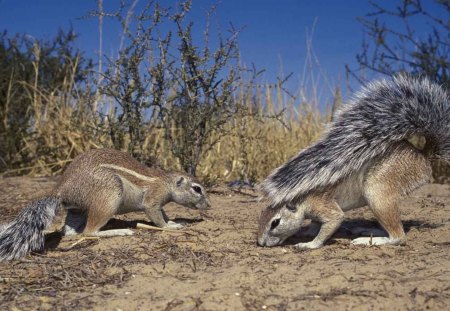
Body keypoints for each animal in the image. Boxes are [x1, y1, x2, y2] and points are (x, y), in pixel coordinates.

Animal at [0, 149, 211, 260]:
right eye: (197, 189)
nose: (209, 205)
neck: (166, 182)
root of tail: (61, 189)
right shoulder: (152, 200)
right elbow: (157, 217)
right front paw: (170, 226)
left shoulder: (160, 202)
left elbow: (164, 213)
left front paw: (173, 221)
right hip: (109, 194)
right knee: (90, 231)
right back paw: (119, 231)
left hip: (77, 210)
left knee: (69, 232)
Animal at [256, 74, 450, 250]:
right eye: (261, 215)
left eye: (275, 223)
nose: (260, 243)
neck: (301, 198)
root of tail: (423, 154)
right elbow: (313, 226)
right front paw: (305, 233)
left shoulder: (323, 205)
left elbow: (334, 221)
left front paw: (309, 244)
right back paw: (369, 231)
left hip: (377, 189)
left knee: (398, 237)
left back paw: (371, 241)